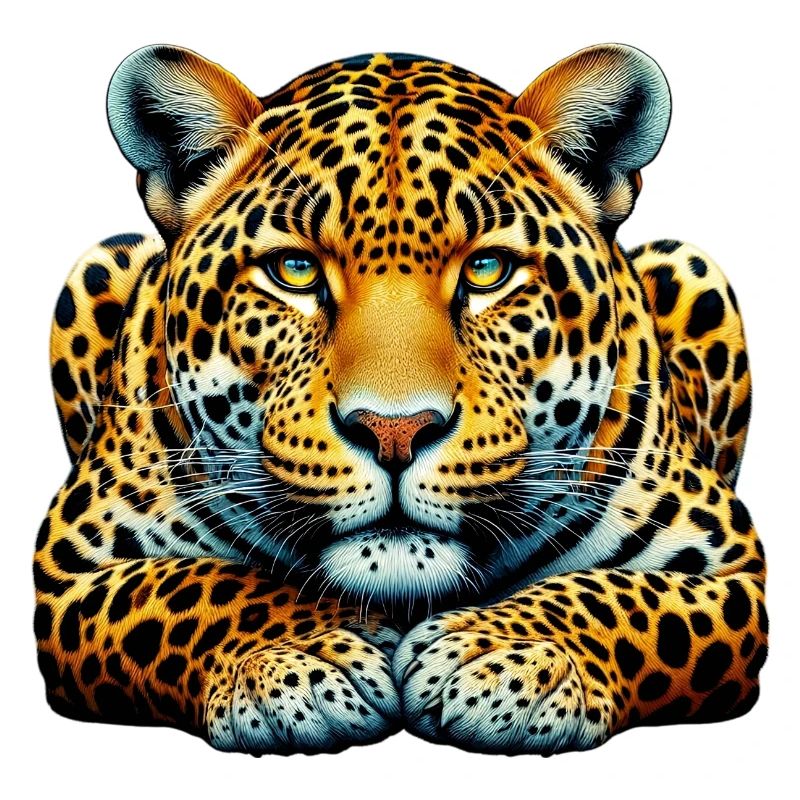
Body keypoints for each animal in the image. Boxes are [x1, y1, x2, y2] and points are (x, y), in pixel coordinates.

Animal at [35, 43, 767, 755]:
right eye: (294, 270)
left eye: (487, 270)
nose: (394, 432)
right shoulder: (68, 571)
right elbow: (198, 585)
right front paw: (309, 657)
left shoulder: (735, 572)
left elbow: (617, 597)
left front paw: (504, 655)